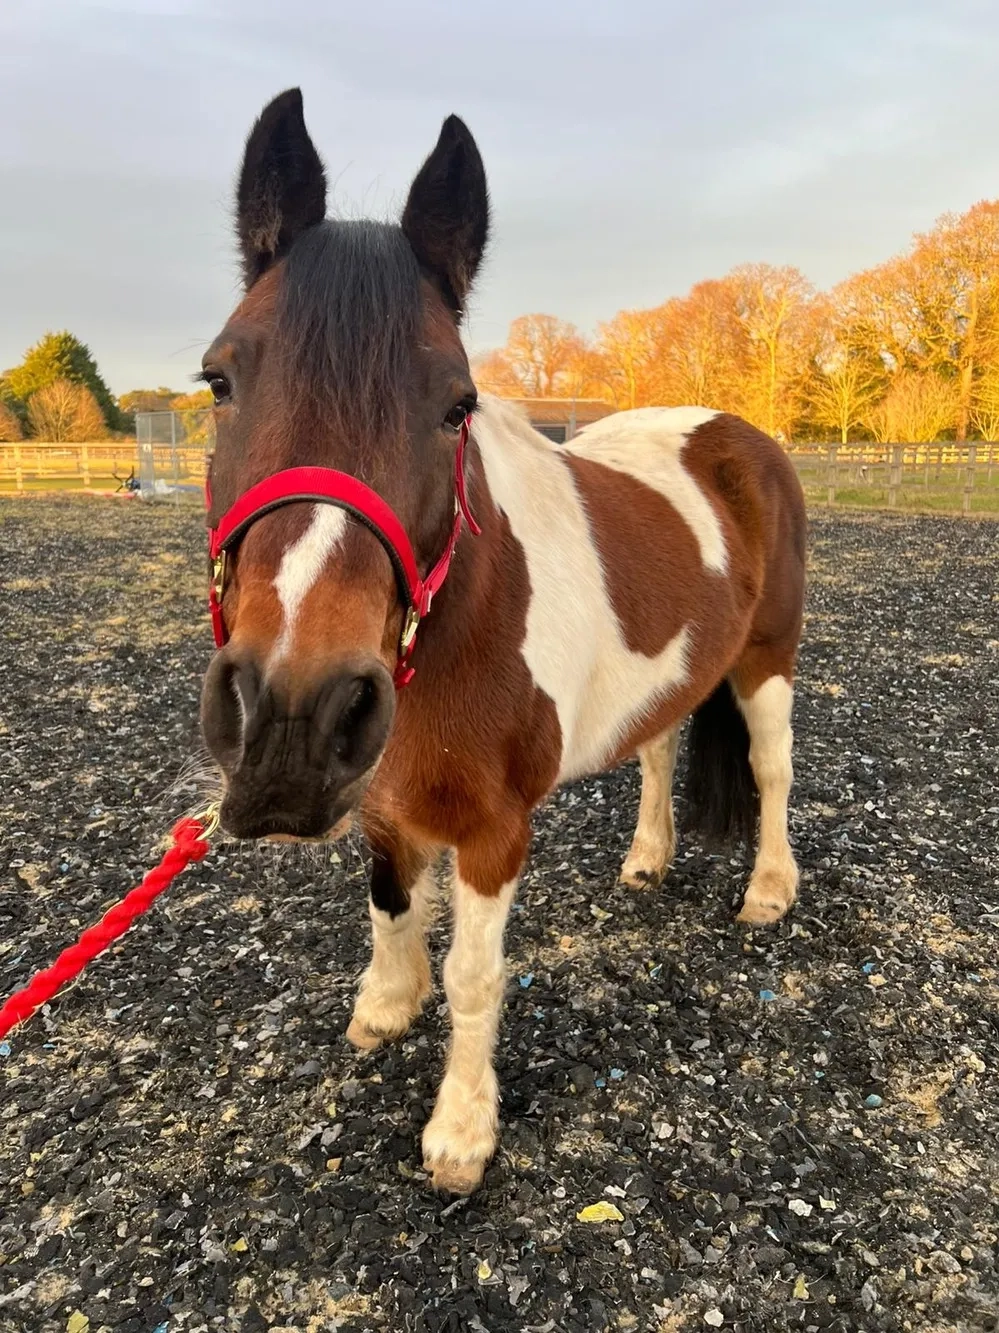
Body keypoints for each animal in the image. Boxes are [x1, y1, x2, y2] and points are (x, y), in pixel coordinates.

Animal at [198, 89, 807, 1196]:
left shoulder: (492, 832)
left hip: (766, 659)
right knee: (657, 747)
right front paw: (384, 1006)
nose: (292, 718)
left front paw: (460, 1132)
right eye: (219, 381)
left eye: (458, 405)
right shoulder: (384, 801)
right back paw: (647, 858)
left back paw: (769, 892)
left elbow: (474, 975)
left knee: (775, 769)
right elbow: (392, 905)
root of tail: (737, 433)